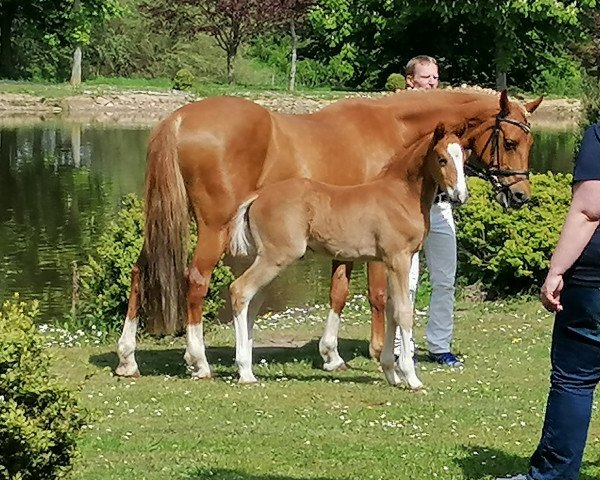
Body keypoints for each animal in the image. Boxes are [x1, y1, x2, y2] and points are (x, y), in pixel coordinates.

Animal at [230, 124, 468, 390]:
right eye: (442, 159)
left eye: (463, 158)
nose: (459, 196)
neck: (401, 195)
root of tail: (257, 197)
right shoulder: (399, 259)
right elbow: (404, 312)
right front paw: (411, 377)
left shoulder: (388, 262)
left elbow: (391, 309)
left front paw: (391, 373)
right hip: (276, 257)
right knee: (240, 290)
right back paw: (244, 371)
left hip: (268, 259)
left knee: (252, 303)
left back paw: (247, 367)